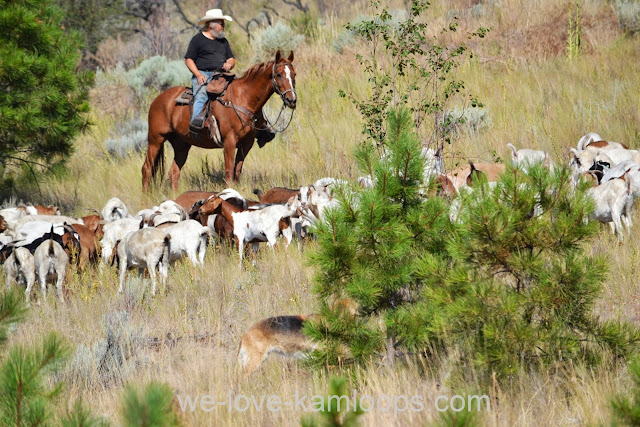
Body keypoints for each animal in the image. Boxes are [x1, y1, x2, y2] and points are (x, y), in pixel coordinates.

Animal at [141, 50, 296, 192]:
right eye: (279, 74)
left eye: (294, 74)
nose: (291, 100)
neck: (243, 98)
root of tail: (157, 99)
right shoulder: (229, 141)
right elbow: (228, 173)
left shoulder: (247, 143)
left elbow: (237, 171)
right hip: (156, 139)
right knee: (146, 169)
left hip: (181, 145)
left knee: (173, 173)